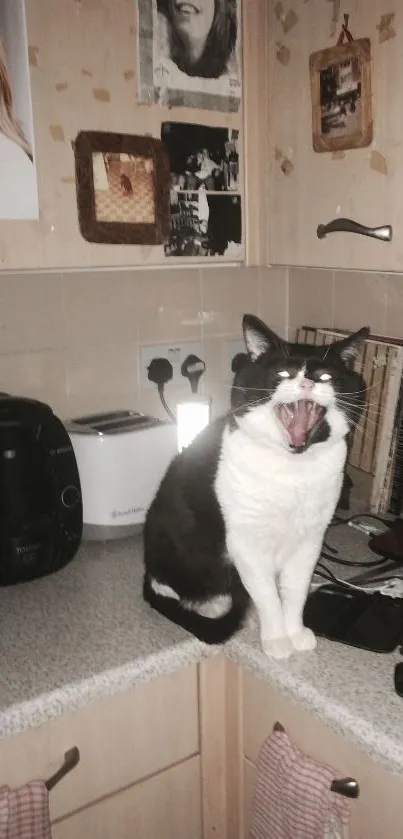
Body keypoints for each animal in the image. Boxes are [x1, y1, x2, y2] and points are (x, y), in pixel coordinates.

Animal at [143, 312, 370, 660]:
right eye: (283, 372)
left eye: (326, 376)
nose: (307, 383)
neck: (292, 468)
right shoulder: (247, 542)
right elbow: (266, 595)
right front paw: (277, 639)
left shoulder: (310, 539)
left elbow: (295, 590)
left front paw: (295, 632)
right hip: (171, 536)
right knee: (172, 586)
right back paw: (212, 604)